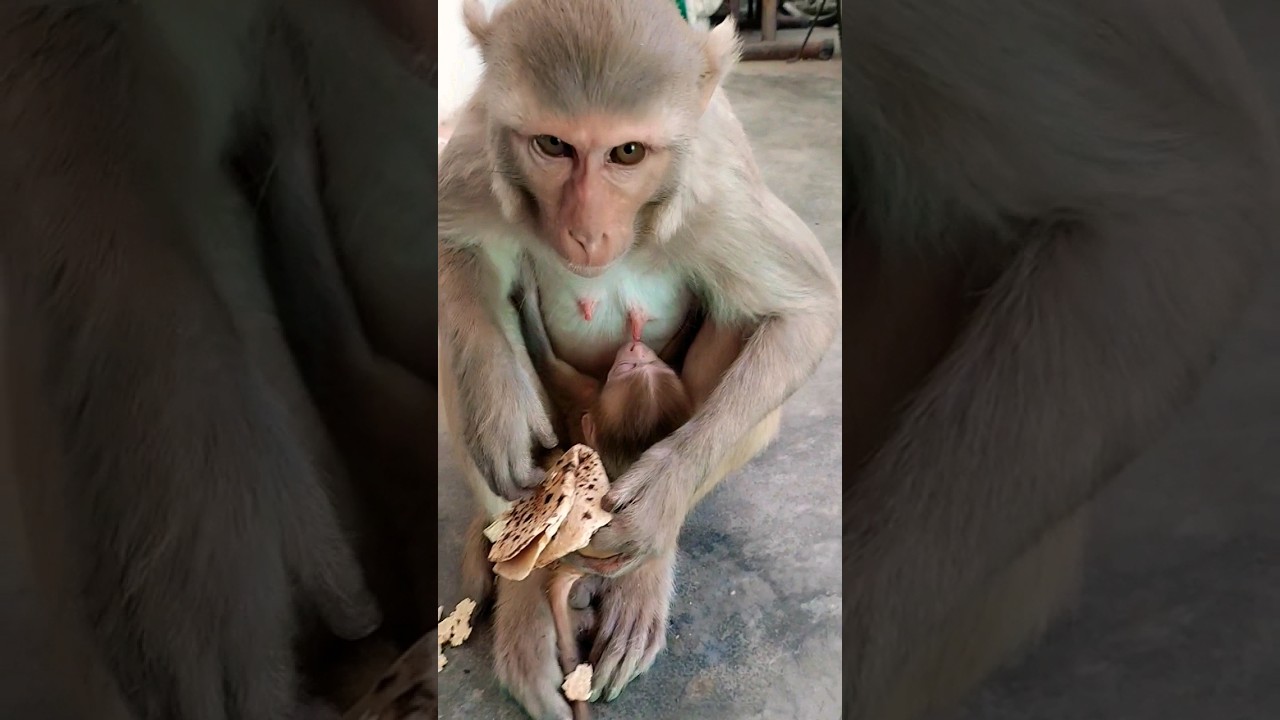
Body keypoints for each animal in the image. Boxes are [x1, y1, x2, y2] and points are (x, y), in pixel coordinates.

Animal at [437, 0, 841, 715]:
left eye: (627, 152)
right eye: (553, 145)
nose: (587, 231)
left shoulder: (717, 200)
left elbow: (807, 312)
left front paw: (656, 507)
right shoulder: (478, 158)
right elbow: (454, 243)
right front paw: (496, 404)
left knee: (743, 312)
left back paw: (638, 578)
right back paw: (519, 591)